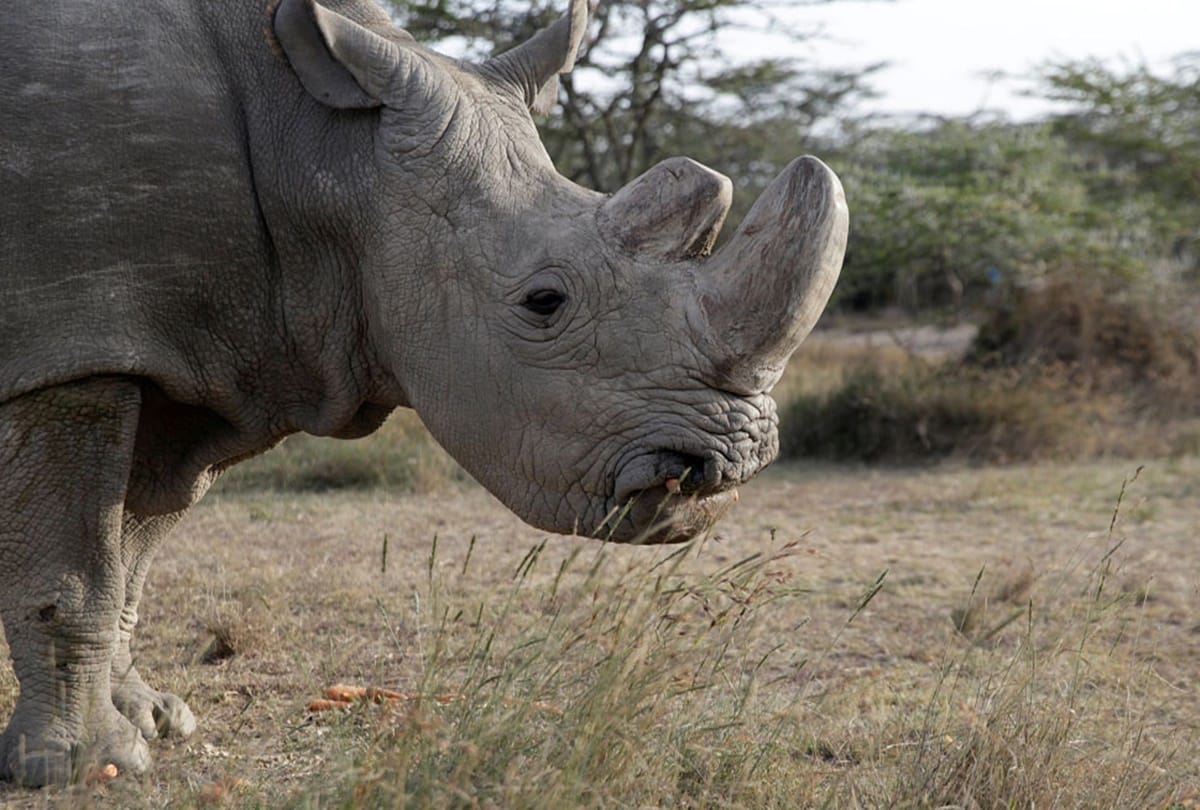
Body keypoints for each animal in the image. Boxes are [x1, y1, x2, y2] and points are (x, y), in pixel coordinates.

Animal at [0, 0, 846, 786]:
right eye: (544, 302)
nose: (732, 461)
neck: (328, 149)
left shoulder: (187, 351)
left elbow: (131, 552)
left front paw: (152, 719)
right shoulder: (73, 340)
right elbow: (75, 573)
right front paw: (86, 767)